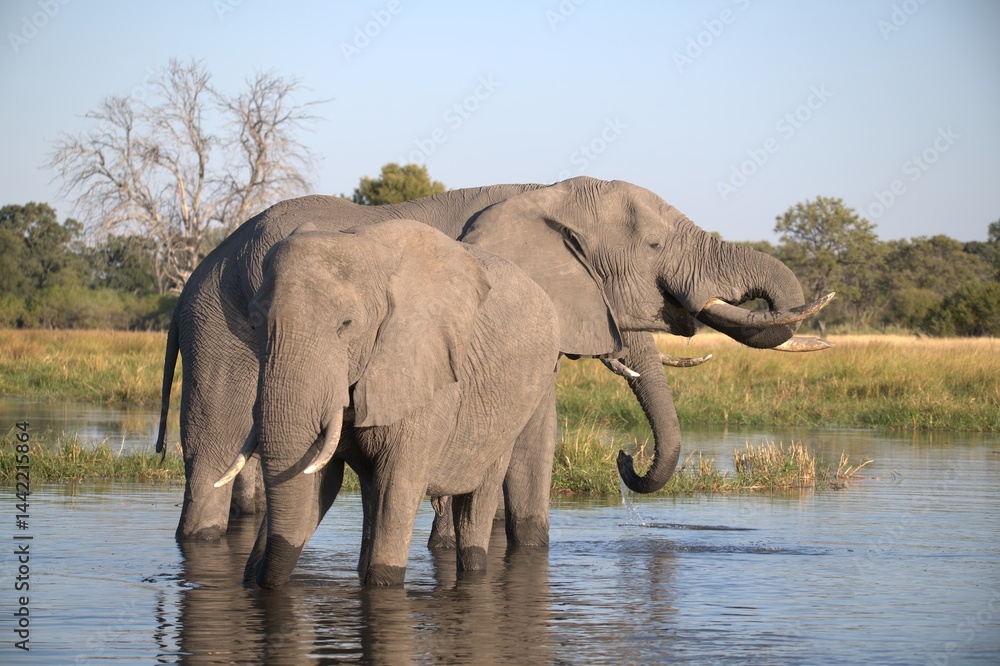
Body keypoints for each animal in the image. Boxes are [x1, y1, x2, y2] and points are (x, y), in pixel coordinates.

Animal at [156, 176, 832, 542]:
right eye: (656, 246)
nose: (625, 458)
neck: (547, 191)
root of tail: (188, 287)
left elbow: (533, 432)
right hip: (223, 337)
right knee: (213, 452)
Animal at [216, 219, 562, 587]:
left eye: (346, 324)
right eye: (254, 324)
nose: (254, 575)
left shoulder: (425, 371)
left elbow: (397, 486)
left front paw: (383, 583)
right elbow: (320, 482)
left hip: (518, 405)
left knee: (475, 501)